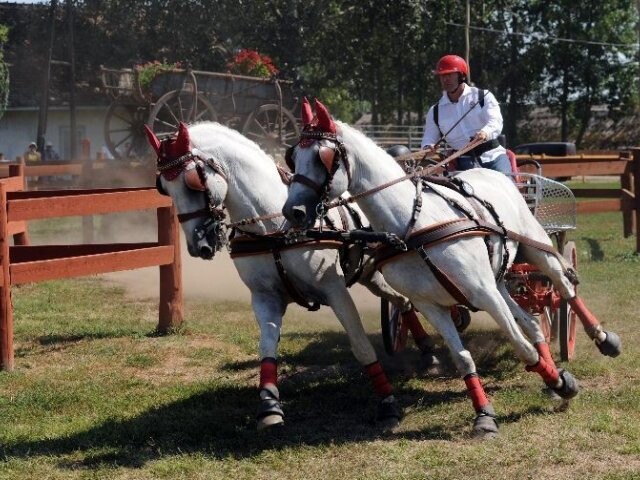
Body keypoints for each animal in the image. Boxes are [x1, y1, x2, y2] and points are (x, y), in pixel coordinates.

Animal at [144, 122, 440, 430]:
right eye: (163, 187)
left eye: (194, 180)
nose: (197, 245)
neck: (275, 227)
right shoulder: (265, 298)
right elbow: (266, 348)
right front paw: (269, 406)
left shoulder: (335, 290)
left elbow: (361, 346)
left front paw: (387, 403)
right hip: (369, 273)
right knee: (403, 301)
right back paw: (426, 350)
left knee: (404, 299)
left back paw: (428, 353)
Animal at [282, 99, 624, 436]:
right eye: (293, 157)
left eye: (323, 157)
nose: (292, 212)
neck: (412, 225)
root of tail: (493, 174)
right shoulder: (431, 304)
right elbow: (463, 359)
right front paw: (485, 415)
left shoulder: (481, 291)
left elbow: (521, 346)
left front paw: (563, 383)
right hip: (498, 280)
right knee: (532, 322)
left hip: (534, 248)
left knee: (563, 288)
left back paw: (602, 339)